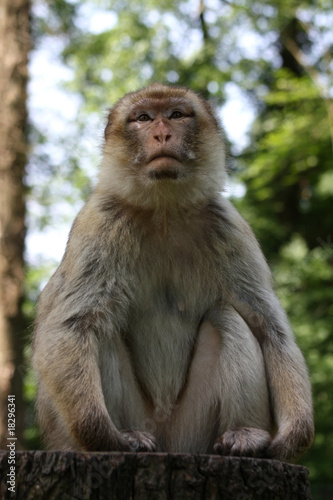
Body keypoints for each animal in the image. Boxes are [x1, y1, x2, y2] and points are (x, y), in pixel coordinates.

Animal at [31, 82, 314, 460]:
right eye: (143, 118)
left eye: (177, 115)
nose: (162, 133)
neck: (164, 210)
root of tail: (167, 440)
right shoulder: (100, 224)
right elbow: (70, 328)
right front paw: (104, 436)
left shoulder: (229, 227)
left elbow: (271, 330)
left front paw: (293, 436)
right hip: (141, 420)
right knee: (101, 327)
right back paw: (129, 435)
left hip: (192, 431)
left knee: (226, 317)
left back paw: (244, 435)